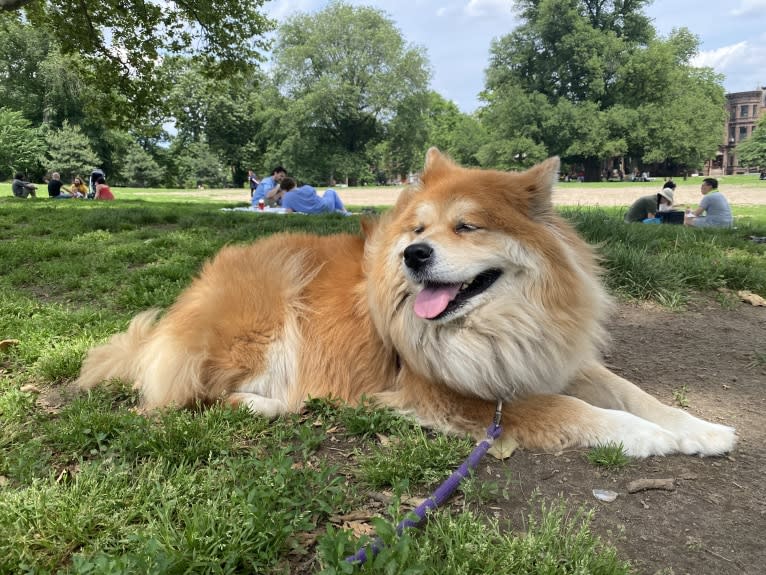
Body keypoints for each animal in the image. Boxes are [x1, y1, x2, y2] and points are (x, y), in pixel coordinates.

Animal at [76, 150, 736, 460]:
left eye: (467, 226)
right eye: (418, 228)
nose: (414, 254)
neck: (498, 324)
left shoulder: (548, 357)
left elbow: (632, 393)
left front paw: (701, 428)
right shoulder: (457, 395)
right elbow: (577, 411)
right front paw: (659, 439)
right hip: (261, 322)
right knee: (192, 397)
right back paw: (261, 403)